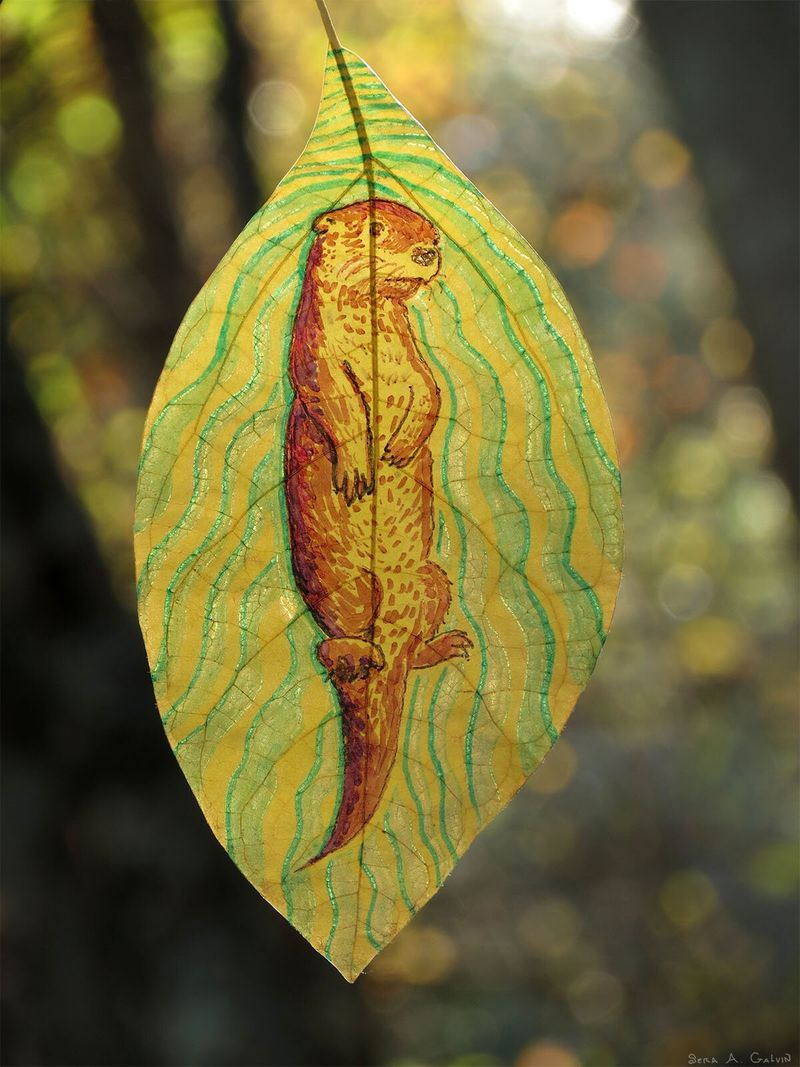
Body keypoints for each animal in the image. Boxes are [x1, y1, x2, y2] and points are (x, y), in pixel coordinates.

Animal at [284, 198, 472, 865]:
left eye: (428, 226)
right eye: (374, 229)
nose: (430, 249)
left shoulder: (413, 357)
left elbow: (431, 390)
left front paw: (399, 448)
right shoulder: (315, 359)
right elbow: (335, 404)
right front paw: (360, 468)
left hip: (432, 579)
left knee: (409, 650)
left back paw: (443, 647)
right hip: (341, 587)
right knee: (333, 646)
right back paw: (356, 657)